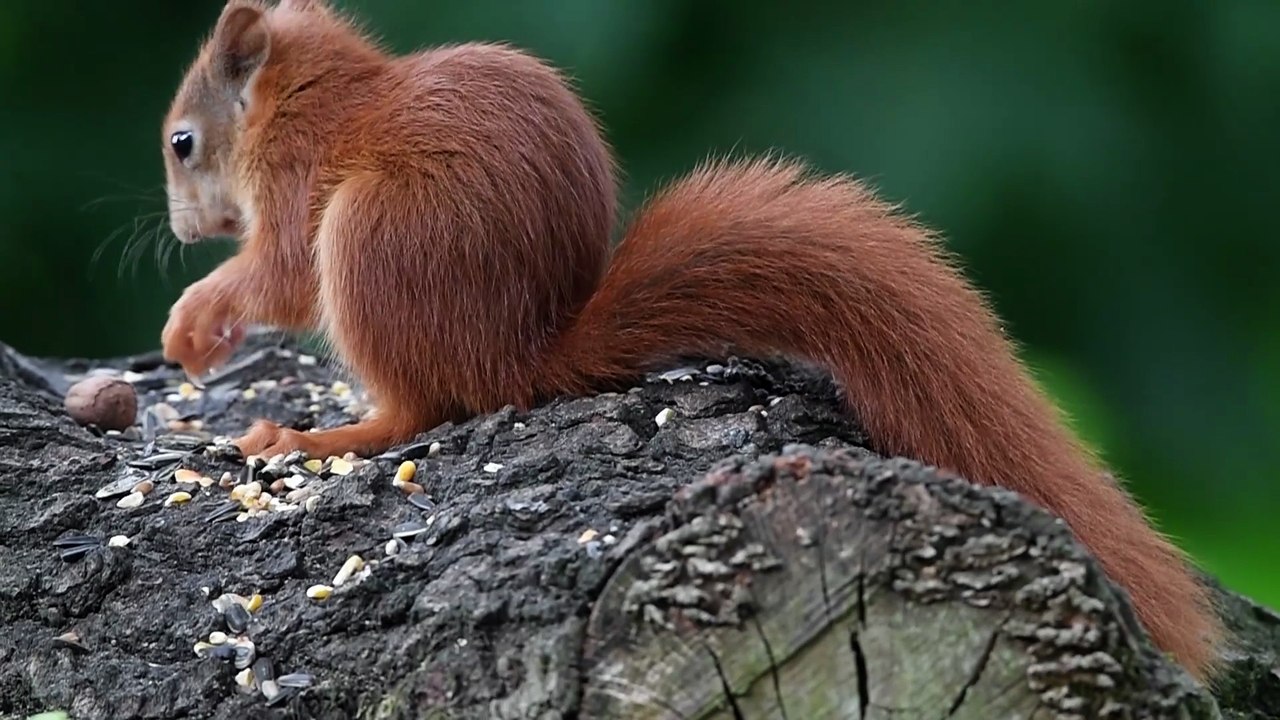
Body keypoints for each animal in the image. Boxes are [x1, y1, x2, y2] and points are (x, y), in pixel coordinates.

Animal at [159, 0, 1221, 680]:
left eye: (182, 142)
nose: (178, 230)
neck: (307, 99)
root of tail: (522, 354)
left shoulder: (302, 184)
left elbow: (279, 275)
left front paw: (197, 316)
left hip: (373, 242)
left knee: (420, 409)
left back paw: (317, 435)